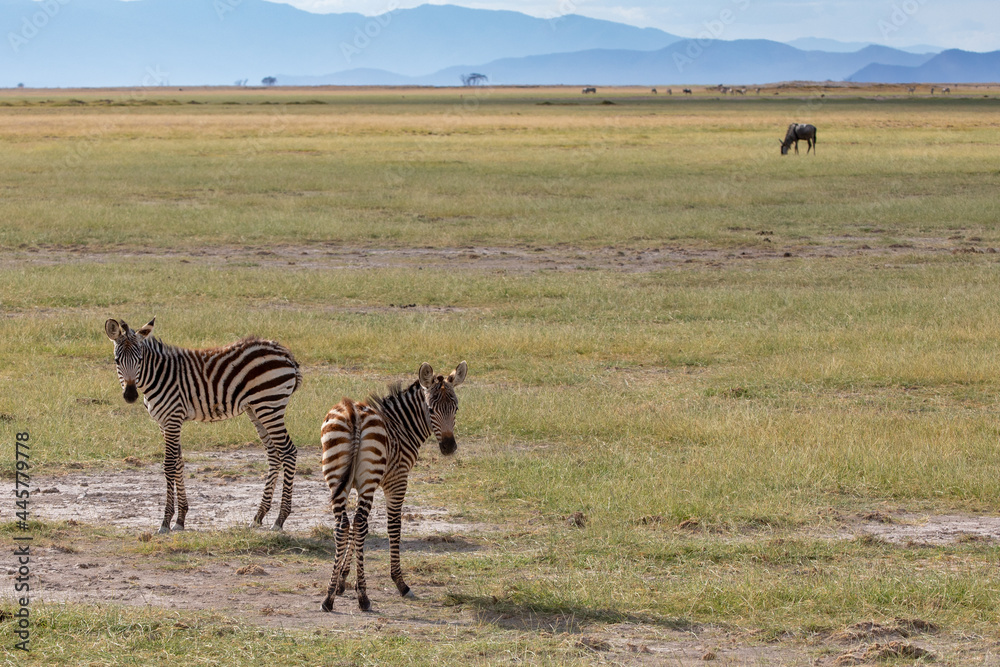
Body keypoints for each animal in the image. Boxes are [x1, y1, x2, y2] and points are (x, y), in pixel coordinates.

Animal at [104, 318, 302, 534]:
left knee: (288, 451)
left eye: (139, 360)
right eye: (117, 361)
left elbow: (169, 465)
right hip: (257, 409)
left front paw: (165, 521)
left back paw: (280, 519)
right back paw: (258, 516)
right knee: (274, 454)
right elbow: (179, 463)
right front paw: (181, 519)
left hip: (270, 405)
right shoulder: (164, 423)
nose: (130, 395)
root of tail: (285, 353)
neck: (159, 375)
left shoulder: (172, 419)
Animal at [320, 361, 467, 612]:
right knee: (359, 524)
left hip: (337, 477)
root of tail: (353, 412)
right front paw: (400, 583)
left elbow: (352, 530)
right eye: (430, 410)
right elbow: (393, 528)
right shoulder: (397, 480)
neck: (400, 426)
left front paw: (341, 581)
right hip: (368, 479)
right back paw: (364, 597)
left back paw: (328, 598)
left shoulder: (356, 484)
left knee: (343, 525)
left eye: (456, 409)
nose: (449, 447)